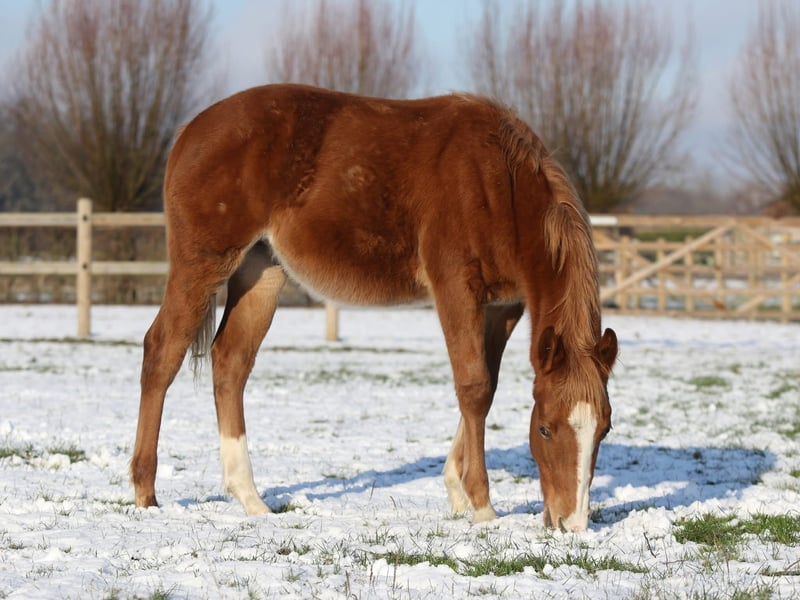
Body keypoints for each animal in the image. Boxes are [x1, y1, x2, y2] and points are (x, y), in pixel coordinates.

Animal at [131, 84, 618, 532]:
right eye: (545, 428)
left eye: (604, 429)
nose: (571, 524)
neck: (500, 184)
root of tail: (191, 130)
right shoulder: (455, 288)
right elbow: (474, 387)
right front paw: (481, 507)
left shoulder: (504, 307)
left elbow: (488, 386)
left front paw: (455, 489)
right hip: (205, 262)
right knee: (162, 351)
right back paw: (145, 492)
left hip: (261, 270)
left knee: (230, 362)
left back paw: (251, 499)